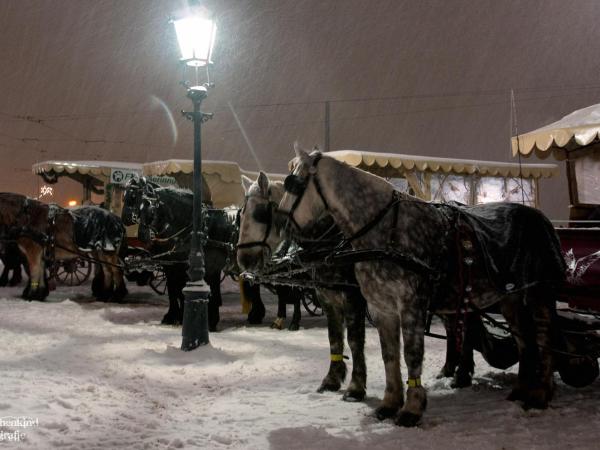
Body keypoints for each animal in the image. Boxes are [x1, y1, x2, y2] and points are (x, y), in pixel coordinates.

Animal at [237, 172, 368, 400]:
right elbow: (334, 338)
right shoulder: (327, 298)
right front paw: (332, 379)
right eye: (241, 212)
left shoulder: (354, 298)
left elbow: (354, 340)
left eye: (260, 214)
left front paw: (356, 387)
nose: (243, 259)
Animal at [278, 147, 564, 426]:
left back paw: (539, 393)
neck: (385, 231)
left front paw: (411, 408)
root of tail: (541, 217)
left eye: (294, 184)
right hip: (507, 297)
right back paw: (517, 389)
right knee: (522, 339)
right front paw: (389, 403)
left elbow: (409, 353)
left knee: (543, 336)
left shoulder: (407, 303)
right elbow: (387, 354)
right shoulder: (379, 307)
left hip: (538, 293)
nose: (281, 225)